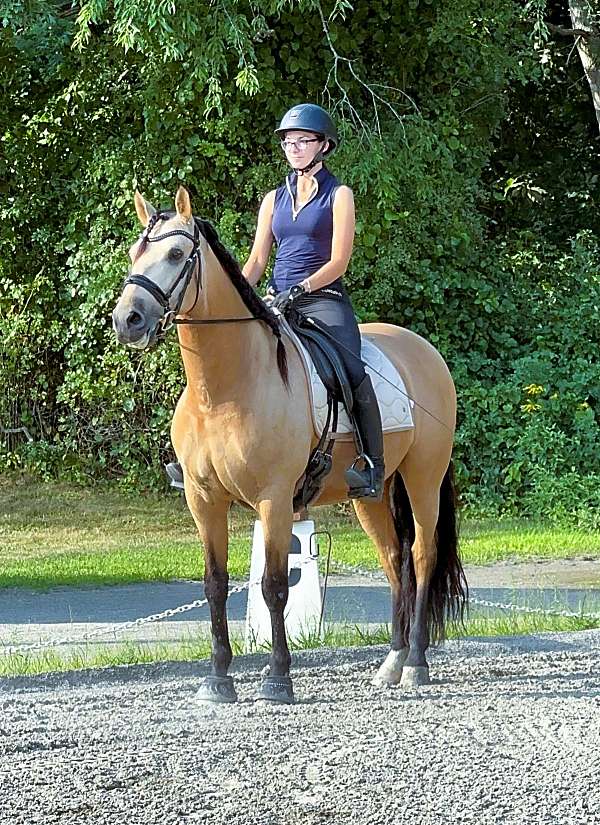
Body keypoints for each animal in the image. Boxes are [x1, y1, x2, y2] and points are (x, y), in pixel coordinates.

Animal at [112, 187, 468, 700]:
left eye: (177, 254)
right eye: (133, 252)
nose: (128, 319)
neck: (223, 390)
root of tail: (425, 350)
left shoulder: (274, 499)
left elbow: (275, 586)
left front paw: (278, 678)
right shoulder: (203, 500)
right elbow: (215, 584)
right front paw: (218, 679)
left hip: (423, 478)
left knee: (421, 556)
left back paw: (417, 663)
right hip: (371, 494)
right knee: (394, 560)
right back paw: (392, 662)